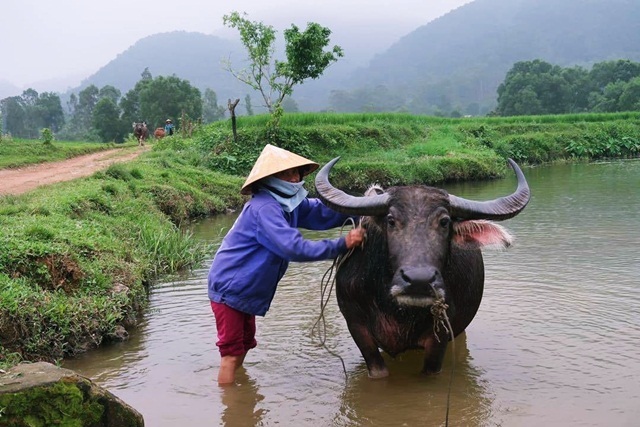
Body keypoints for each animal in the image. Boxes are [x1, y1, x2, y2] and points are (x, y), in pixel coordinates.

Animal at [316, 158, 528, 378]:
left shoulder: (441, 334)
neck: (396, 310)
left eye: (444, 222)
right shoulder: (356, 325)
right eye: (391, 220)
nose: (419, 281)